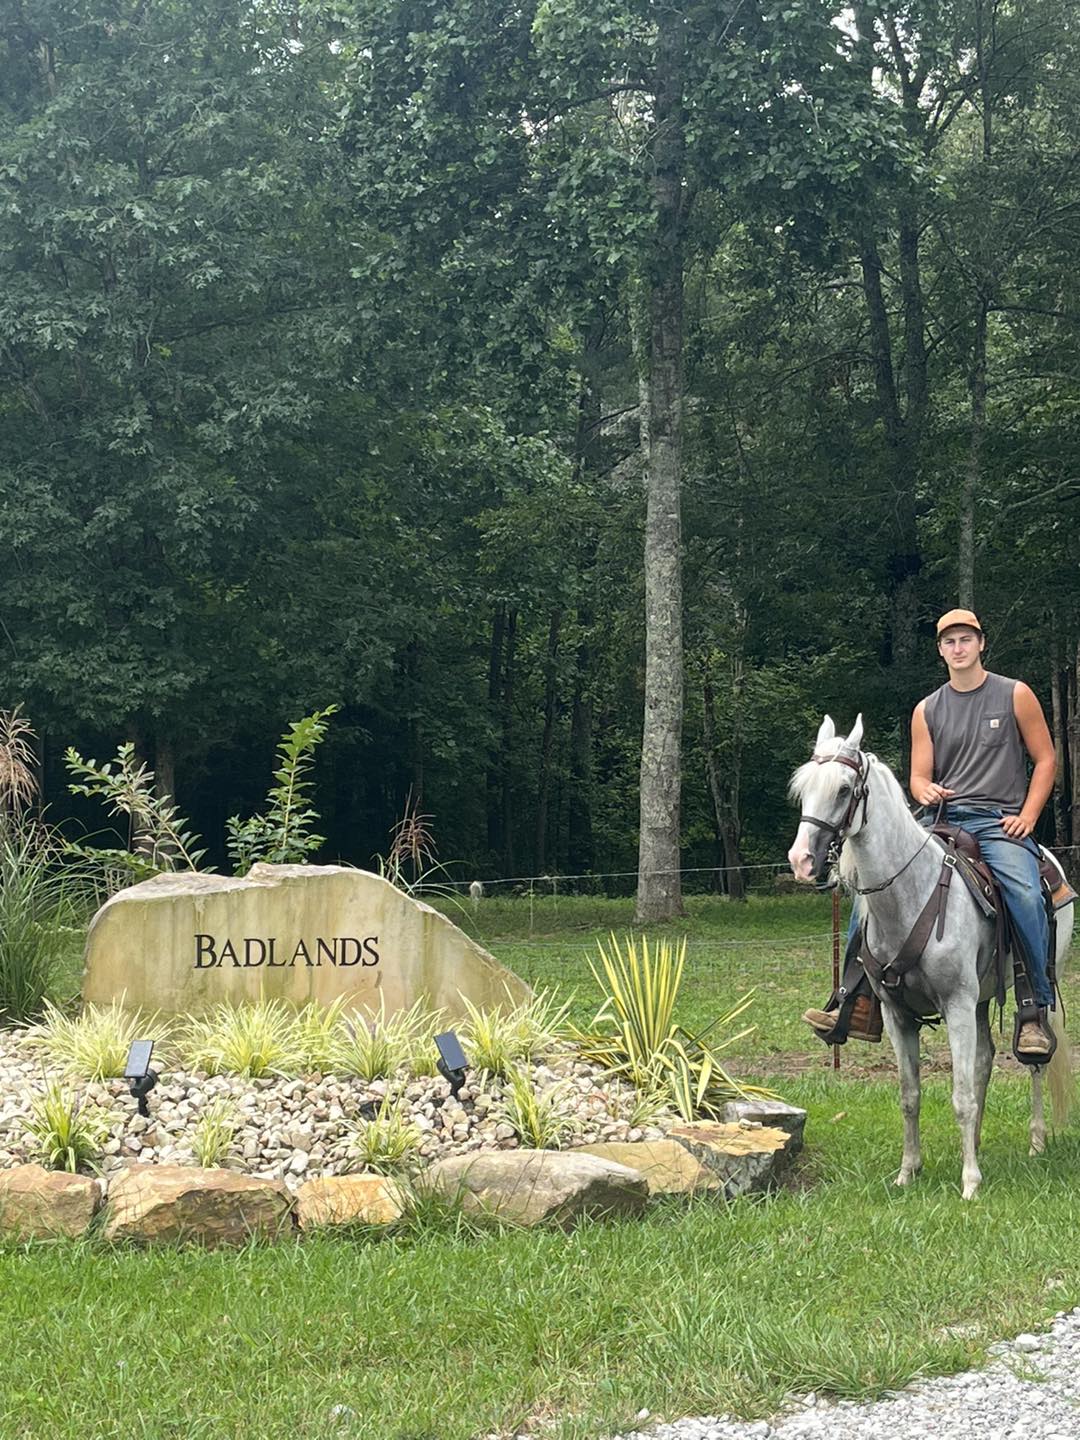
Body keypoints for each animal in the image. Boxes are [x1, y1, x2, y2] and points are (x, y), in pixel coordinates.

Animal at [789, 714, 1077, 1198]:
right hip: (981, 998)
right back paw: (975, 1141)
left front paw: (970, 1182)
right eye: (804, 787)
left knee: (1036, 1056)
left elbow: (959, 1096)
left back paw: (1036, 1140)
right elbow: (911, 1095)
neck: (911, 893)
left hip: (1030, 988)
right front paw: (909, 1171)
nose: (801, 861)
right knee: (983, 1062)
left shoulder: (956, 1003)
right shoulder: (897, 1014)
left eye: (845, 789)